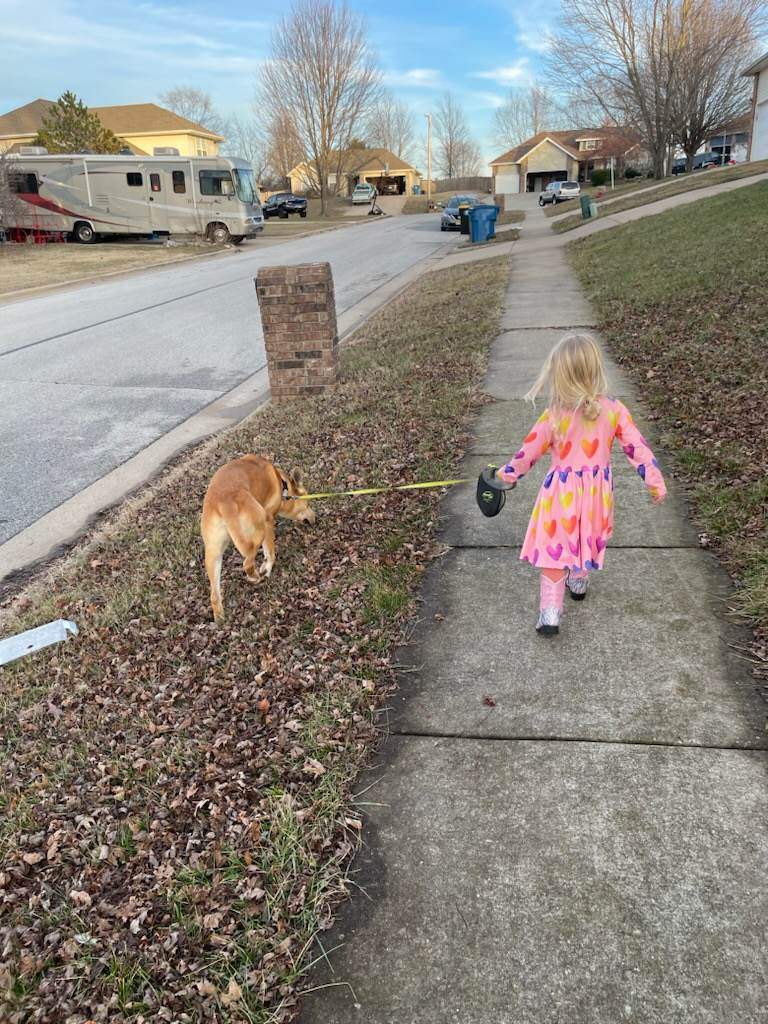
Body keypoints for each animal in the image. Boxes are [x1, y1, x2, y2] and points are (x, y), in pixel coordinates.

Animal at [202, 454, 317, 614]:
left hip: (213, 554)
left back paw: (221, 618)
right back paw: (256, 576)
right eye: (307, 504)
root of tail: (224, 504)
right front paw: (267, 568)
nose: (315, 518)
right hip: (260, 527)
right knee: (247, 563)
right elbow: (270, 552)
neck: (282, 484)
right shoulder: (269, 521)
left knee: (214, 596)